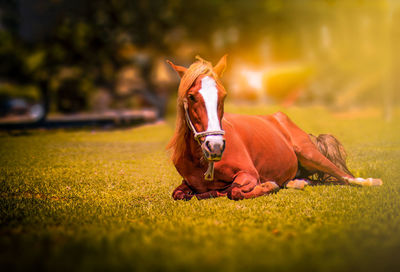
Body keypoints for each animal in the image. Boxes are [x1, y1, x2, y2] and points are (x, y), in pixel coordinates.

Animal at [165, 54, 382, 200]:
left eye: (224, 95)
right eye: (191, 96)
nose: (215, 145)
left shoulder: (249, 174)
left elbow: (235, 191)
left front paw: (268, 185)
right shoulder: (186, 183)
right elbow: (180, 193)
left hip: (310, 154)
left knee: (345, 177)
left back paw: (371, 182)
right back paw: (298, 182)